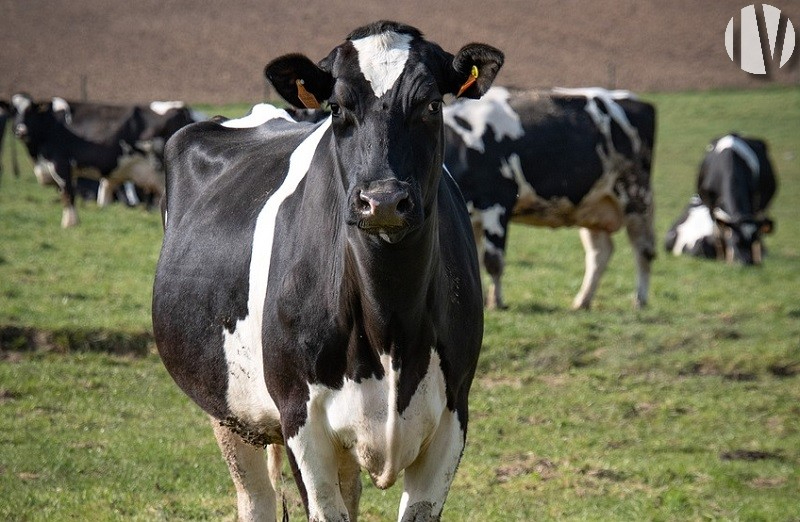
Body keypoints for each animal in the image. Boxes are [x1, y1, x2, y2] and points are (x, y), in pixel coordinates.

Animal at [152, 20, 500, 520]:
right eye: (336, 108)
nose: (383, 201)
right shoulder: (301, 420)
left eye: (433, 104)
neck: (390, 321)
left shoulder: (453, 417)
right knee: (255, 497)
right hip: (228, 408)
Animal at [444, 85, 656, 308]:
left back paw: (639, 300)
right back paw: (582, 301)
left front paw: (496, 302)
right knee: (600, 253)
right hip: (592, 204)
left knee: (643, 248)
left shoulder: (497, 202)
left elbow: (493, 260)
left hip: (636, 195)